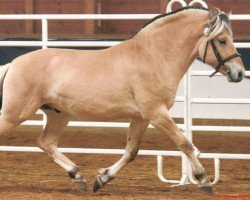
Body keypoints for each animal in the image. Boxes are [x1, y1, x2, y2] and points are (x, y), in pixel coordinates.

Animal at [0, 5, 244, 194]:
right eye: (222, 40)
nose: (239, 73)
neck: (154, 56)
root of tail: (13, 64)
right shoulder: (156, 113)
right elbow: (184, 143)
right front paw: (204, 181)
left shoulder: (141, 117)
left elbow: (131, 151)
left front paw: (102, 179)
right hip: (16, 114)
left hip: (58, 115)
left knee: (46, 142)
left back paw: (78, 176)